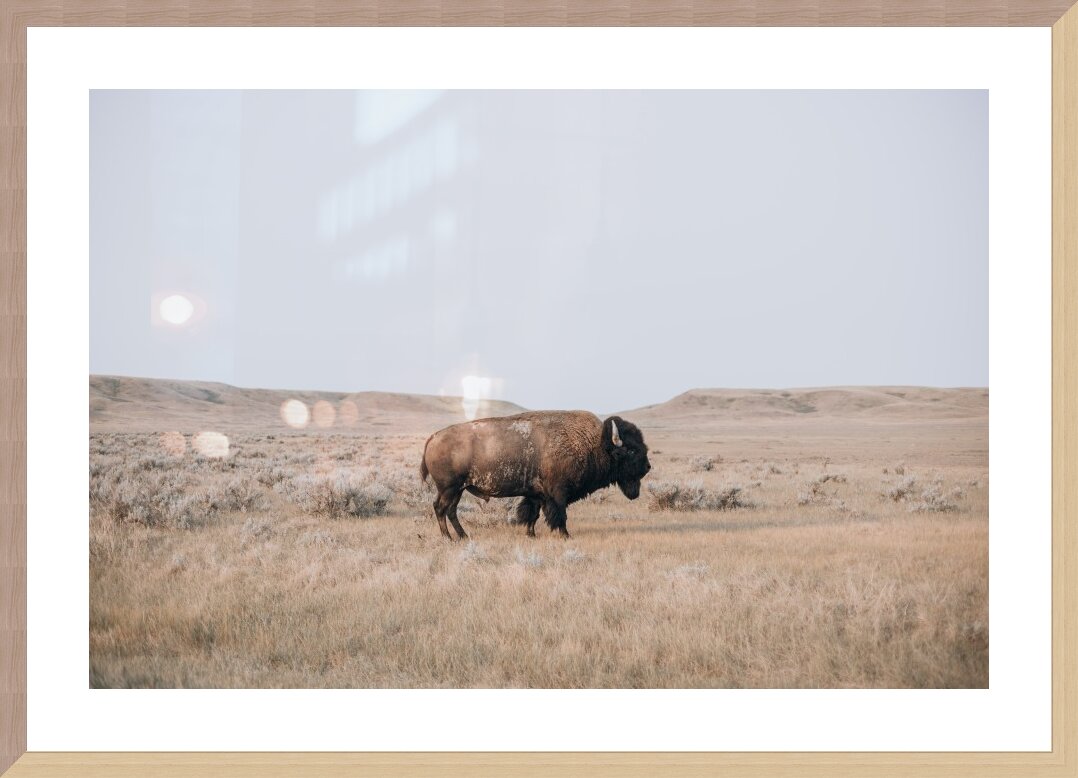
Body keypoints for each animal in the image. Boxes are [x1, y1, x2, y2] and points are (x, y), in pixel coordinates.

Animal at [419, 411, 651, 539]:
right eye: (631, 450)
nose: (647, 467)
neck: (594, 443)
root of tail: (434, 437)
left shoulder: (536, 494)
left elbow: (532, 514)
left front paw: (531, 535)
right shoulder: (557, 494)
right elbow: (559, 515)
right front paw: (565, 536)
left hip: (457, 490)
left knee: (450, 511)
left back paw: (463, 536)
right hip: (449, 488)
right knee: (440, 509)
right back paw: (449, 538)